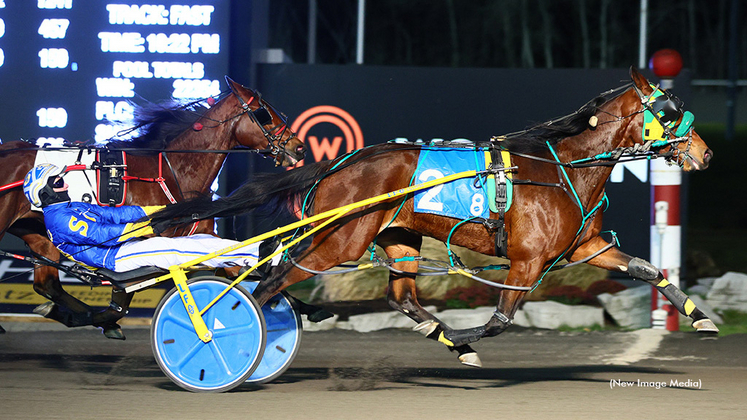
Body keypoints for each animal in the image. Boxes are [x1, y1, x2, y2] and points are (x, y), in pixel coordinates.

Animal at [0, 76, 306, 338]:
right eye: (264, 113)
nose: (299, 147)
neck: (175, 171)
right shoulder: (141, 245)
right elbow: (122, 296)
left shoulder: (202, 234)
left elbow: (233, 268)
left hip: (34, 230)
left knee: (47, 284)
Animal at [152, 69, 720, 364]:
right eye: (669, 112)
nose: (706, 153)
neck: (560, 169)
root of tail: (338, 163)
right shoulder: (527, 262)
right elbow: (498, 321)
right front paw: (467, 340)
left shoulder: (586, 247)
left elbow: (649, 269)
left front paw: (702, 317)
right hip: (341, 241)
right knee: (272, 281)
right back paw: (229, 336)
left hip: (398, 238)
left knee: (399, 296)